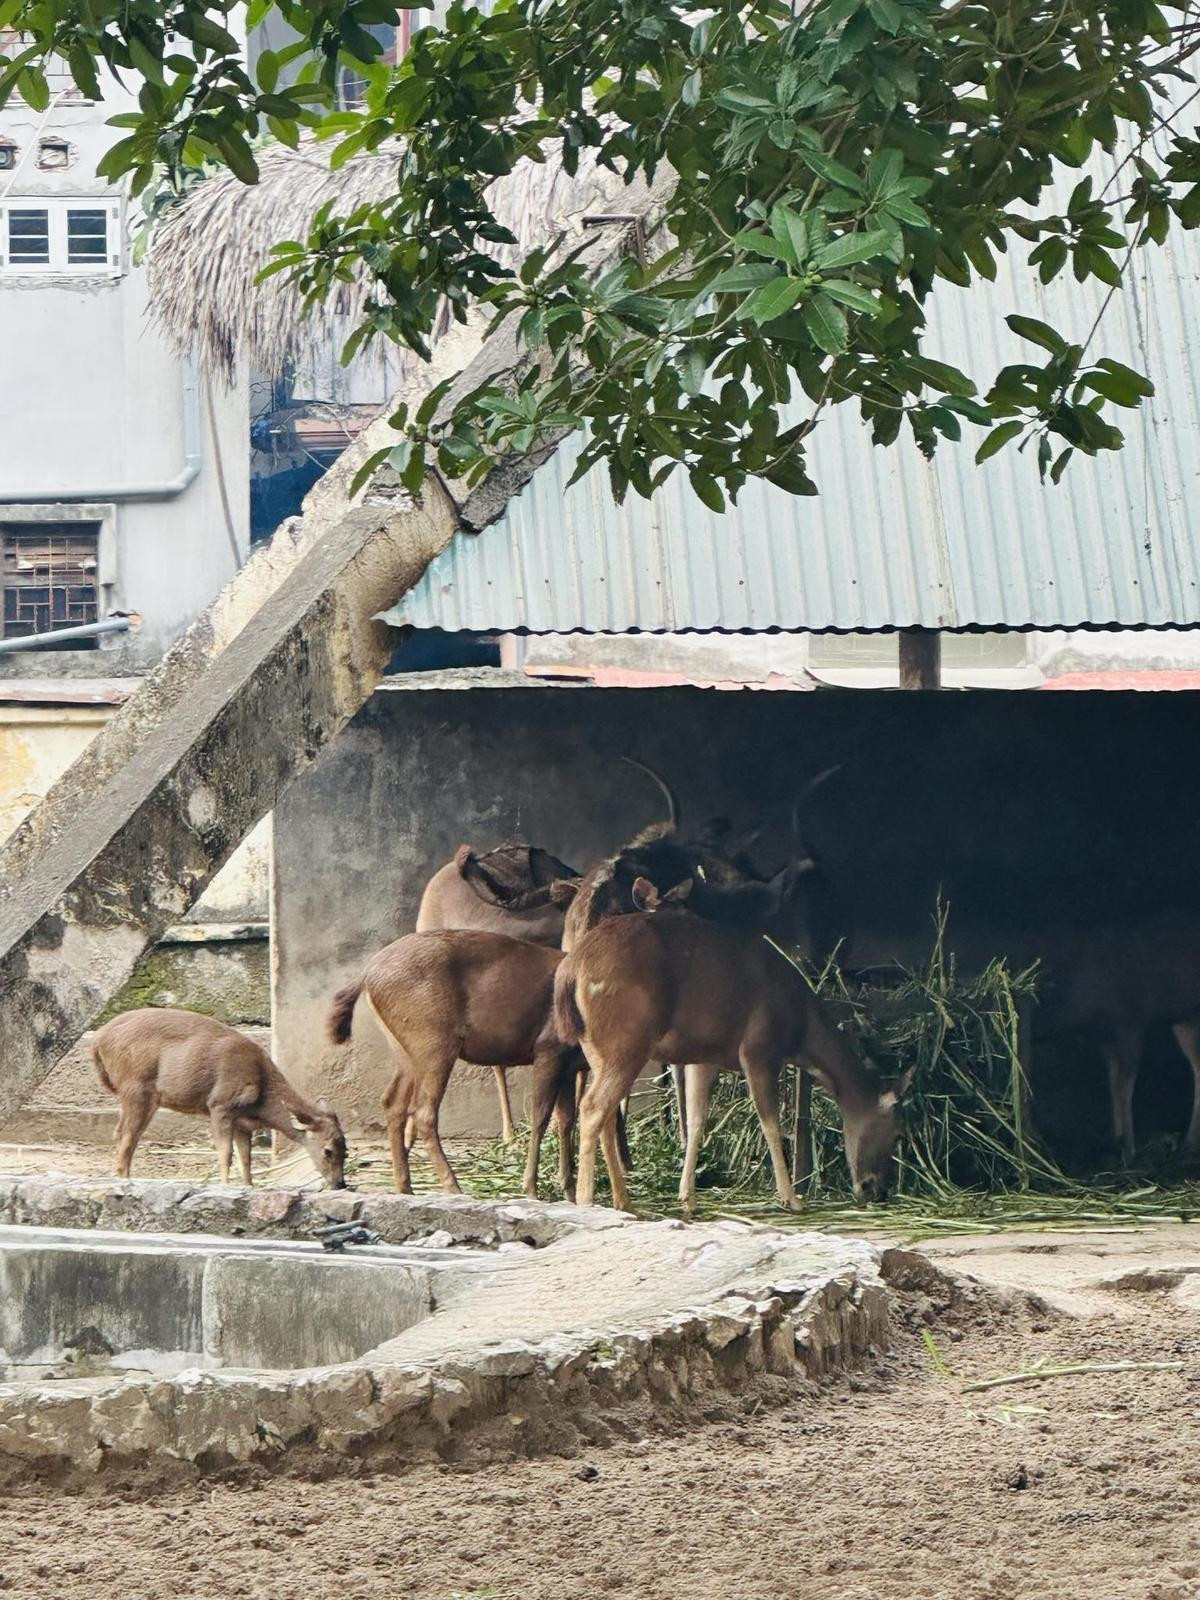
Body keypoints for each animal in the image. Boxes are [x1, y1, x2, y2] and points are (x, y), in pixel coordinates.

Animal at [93, 1011, 347, 1190]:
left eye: (346, 1149)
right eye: (327, 1151)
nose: (340, 1184)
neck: (261, 1099)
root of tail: (98, 1040)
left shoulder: (243, 1122)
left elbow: (246, 1158)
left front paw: (248, 1185)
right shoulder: (220, 1103)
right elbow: (225, 1152)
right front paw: (225, 1186)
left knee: (125, 1134)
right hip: (135, 1085)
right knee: (126, 1135)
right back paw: (124, 1181)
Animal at [556, 876, 908, 1209]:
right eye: (897, 1135)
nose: (875, 1190)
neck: (800, 1030)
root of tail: (570, 971)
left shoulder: (705, 1056)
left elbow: (697, 1119)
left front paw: (688, 1196)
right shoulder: (759, 1048)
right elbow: (771, 1122)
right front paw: (791, 1199)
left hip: (596, 1046)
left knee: (604, 1112)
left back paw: (623, 1200)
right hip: (627, 1041)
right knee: (593, 1107)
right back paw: (587, 1199)